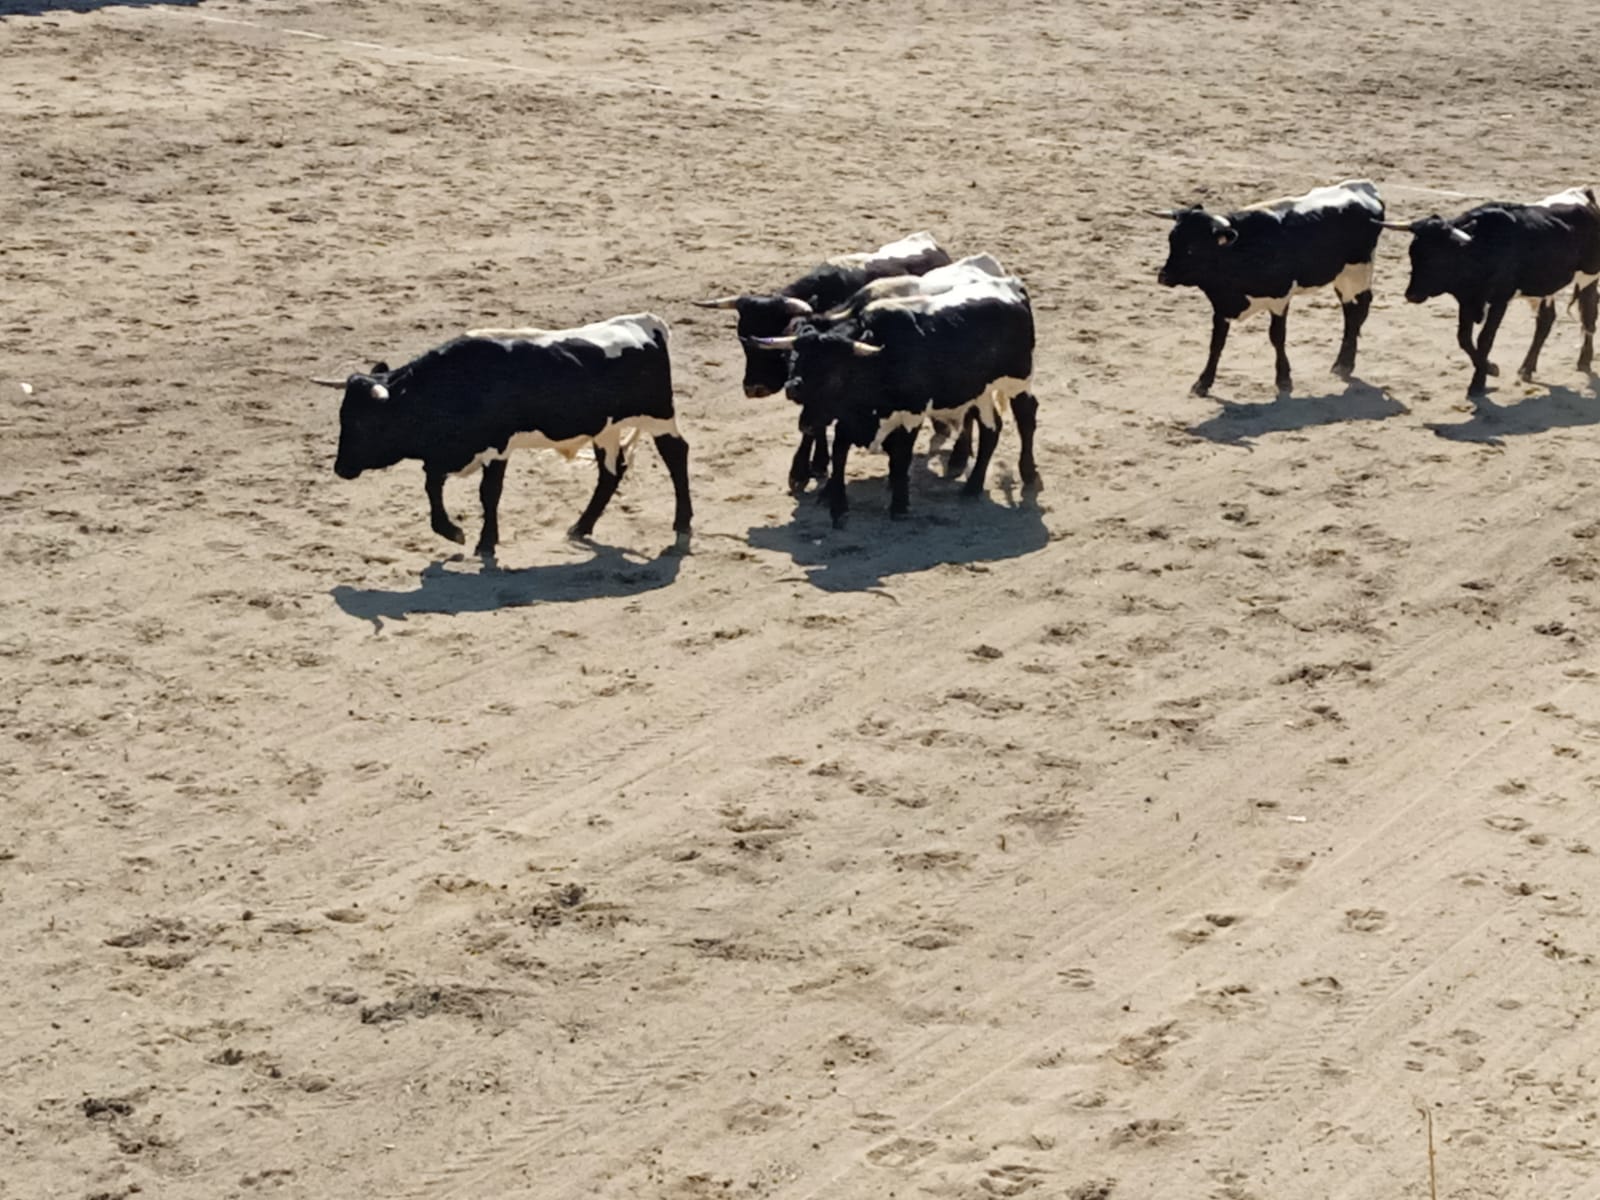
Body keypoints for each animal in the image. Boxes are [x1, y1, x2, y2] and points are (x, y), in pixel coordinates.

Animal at [315, 310, 691, 553]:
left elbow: (489, 493)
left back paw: (683, 524)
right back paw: (581, 526)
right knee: (611, 471)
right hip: (606, 430)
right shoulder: (444, 455)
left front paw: (484, 542)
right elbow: (432, 487)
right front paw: (452, 531)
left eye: (364, 422)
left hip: (658, 416)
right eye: (343, 417)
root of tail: (646, 324)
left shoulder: (497, 447)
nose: (341, 468)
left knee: (676, 455)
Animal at [748, 281, 1036, 531]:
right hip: (980, 392)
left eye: (834, 371)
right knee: (991, 430)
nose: (792, 387)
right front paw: (836, 505)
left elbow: (900, 457)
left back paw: (1028, 473)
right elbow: (839, 455)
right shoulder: (847, 419)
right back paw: (973, 487)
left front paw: (899, 504)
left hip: (1018, 381)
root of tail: (1012, 288)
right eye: (795, 358)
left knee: (1026, 416)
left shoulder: (912, 413)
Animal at [1152, 180, 1388, 400]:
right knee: (1351, 312)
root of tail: (1363, 186)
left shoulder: (1280, 299)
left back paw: (1344, 364)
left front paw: (1283, 379)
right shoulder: (1221, 306)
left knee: (1358, 311)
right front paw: (1203, 382)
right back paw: (1343, 362)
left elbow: (1277, 337)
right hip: (1342, 278)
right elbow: (1216, 343)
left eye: (1193, 248)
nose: (1163, 276)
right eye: (1171, 240)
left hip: (1358, 272)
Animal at [1382, 185, 1593, 396]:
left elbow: (1485, 338)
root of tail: (1584, 193)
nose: (1411, 295)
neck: (1480, 249)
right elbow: (1464, 338)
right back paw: (1527, 368)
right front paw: (1489, 368)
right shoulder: (1466, 300)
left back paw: (1584, 361)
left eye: (1438, 256)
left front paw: (1479, 381)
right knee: (1546, 320)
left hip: (1589, 277)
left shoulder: (1500, 300)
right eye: (1412, 252)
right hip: (1542, 289)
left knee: (1588, 316)